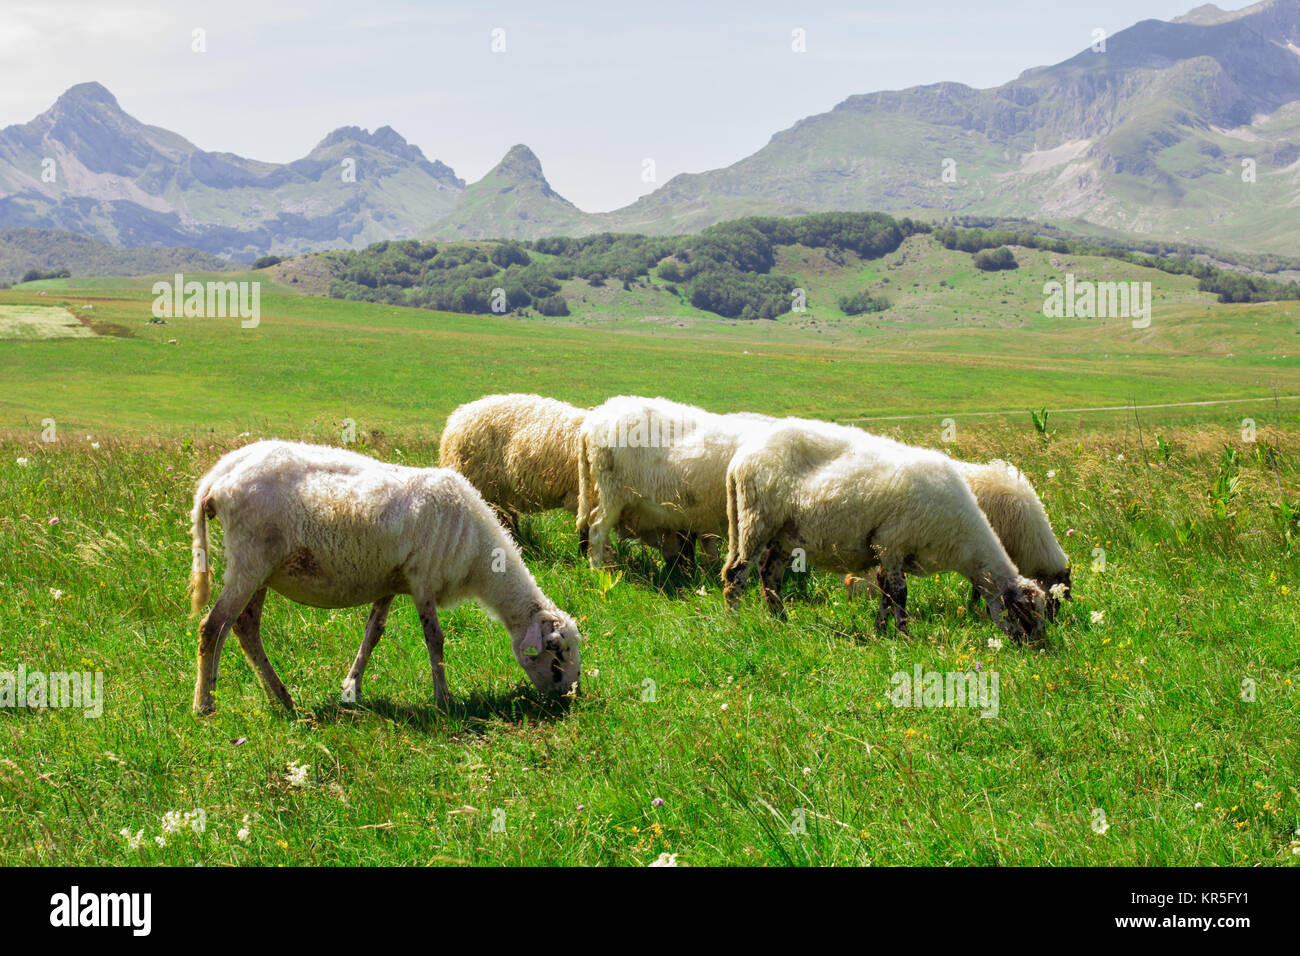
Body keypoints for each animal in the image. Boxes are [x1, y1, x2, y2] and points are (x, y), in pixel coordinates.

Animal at [188, 440, 581, 715]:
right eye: (555, 652)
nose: (570, 697)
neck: (480, 556)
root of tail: (216, 477)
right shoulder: (422, 579)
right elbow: (435, 640)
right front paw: (444, 699)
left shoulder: (390, 582)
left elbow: (372, 635)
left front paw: (352, 689)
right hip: (249, 560)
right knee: (214, 626)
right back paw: (205, 705)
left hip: (260, 570)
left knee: (245, 627)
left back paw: (283, 699)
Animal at [723, 422, 1047, 641]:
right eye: (1027, 614)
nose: (1039, 648)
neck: (961, 540)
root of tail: (741, 458)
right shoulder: (891, 543)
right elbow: (899, 595)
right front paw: (905, 636)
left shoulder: (887, 553)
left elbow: (886, 595)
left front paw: (880, 631)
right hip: (756, 521)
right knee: (736, 574)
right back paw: (733, 622)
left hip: (785, 534)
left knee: (769, 576)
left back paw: (781, 623)